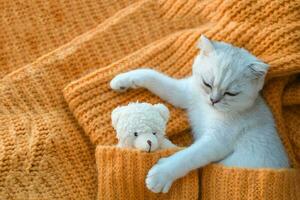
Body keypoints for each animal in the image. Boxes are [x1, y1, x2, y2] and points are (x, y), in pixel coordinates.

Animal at [109, 35, 288, 193]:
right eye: (207, 84)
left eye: (231, 94)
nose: (213, 100)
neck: (208, 109)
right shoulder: (185, 93)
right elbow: (153, 76)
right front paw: (122, 79)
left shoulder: (216, 141)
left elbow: (188, 156)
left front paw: (161, 175)